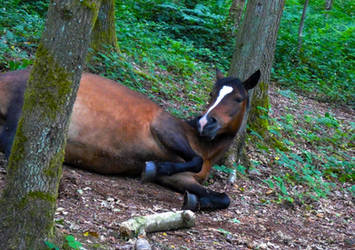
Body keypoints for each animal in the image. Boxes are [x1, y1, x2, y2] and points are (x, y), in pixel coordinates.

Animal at [0, 68, 262, 211]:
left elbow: (224, 198)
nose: (206, 123)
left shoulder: (182, 179)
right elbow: (194, 160)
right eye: (211, 93)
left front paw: (194, 201)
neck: (200, 142)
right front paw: (152, 168)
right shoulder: (164, 129)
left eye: (238, 98)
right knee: (11, 143)